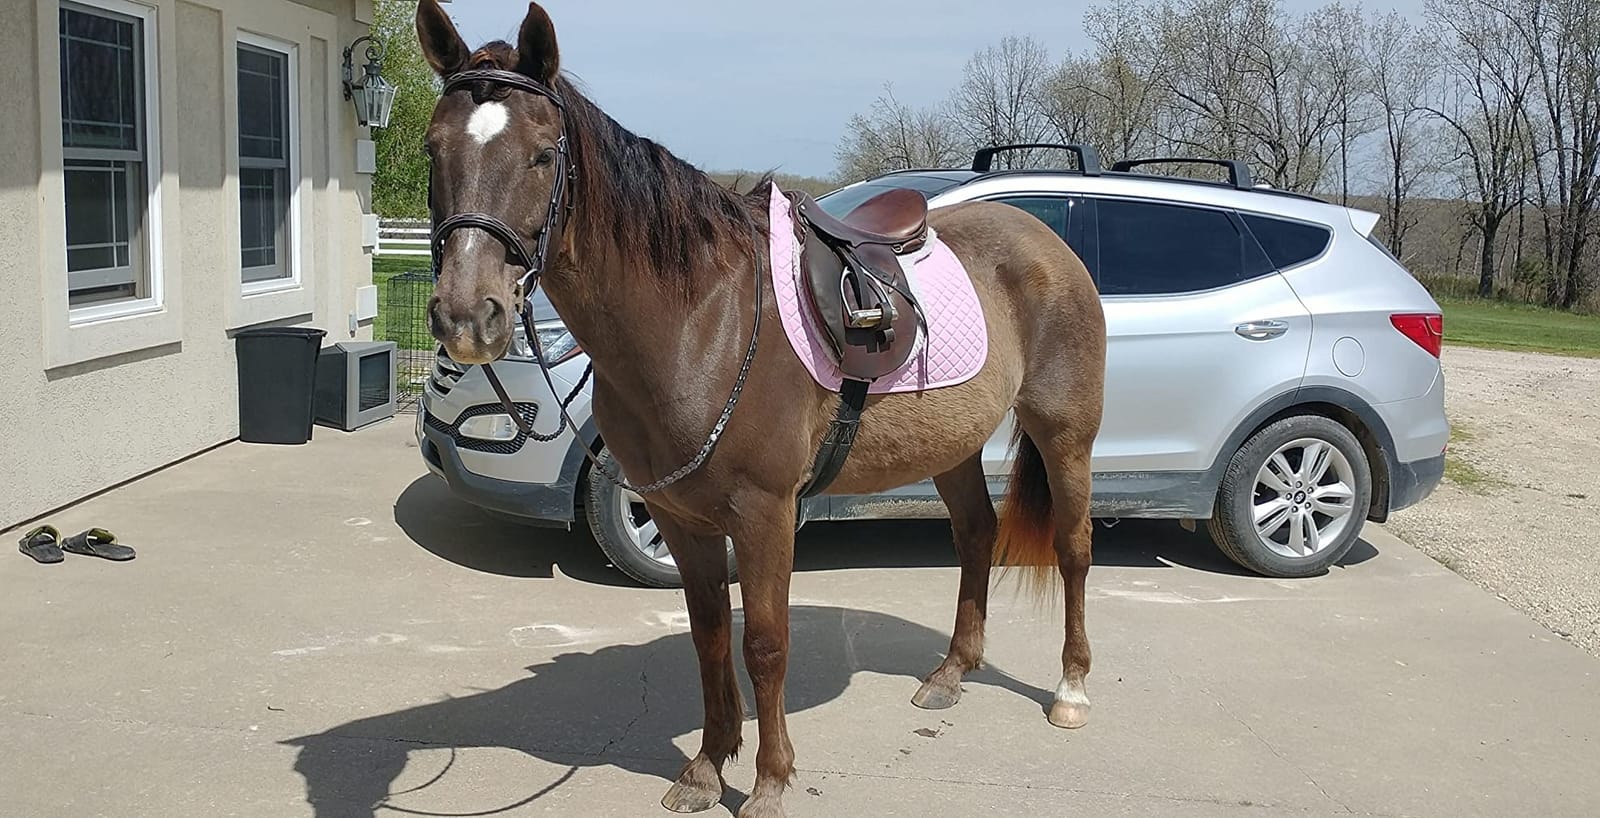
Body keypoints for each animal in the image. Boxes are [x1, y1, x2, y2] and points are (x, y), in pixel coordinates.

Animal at [413, 2, 1107, 816]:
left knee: (1073, 547)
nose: (469, 316)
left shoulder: (765, 513)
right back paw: (951, 673)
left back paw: (1070, 689)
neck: (701, 320)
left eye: (543, 155)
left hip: (1066, 435)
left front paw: (770, 780)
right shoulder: (680, 517)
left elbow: (765, 643)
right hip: (953, 445)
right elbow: (710, 635)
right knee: (975, 535)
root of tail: (1044, 240)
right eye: (432, 148)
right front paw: (707, 767)